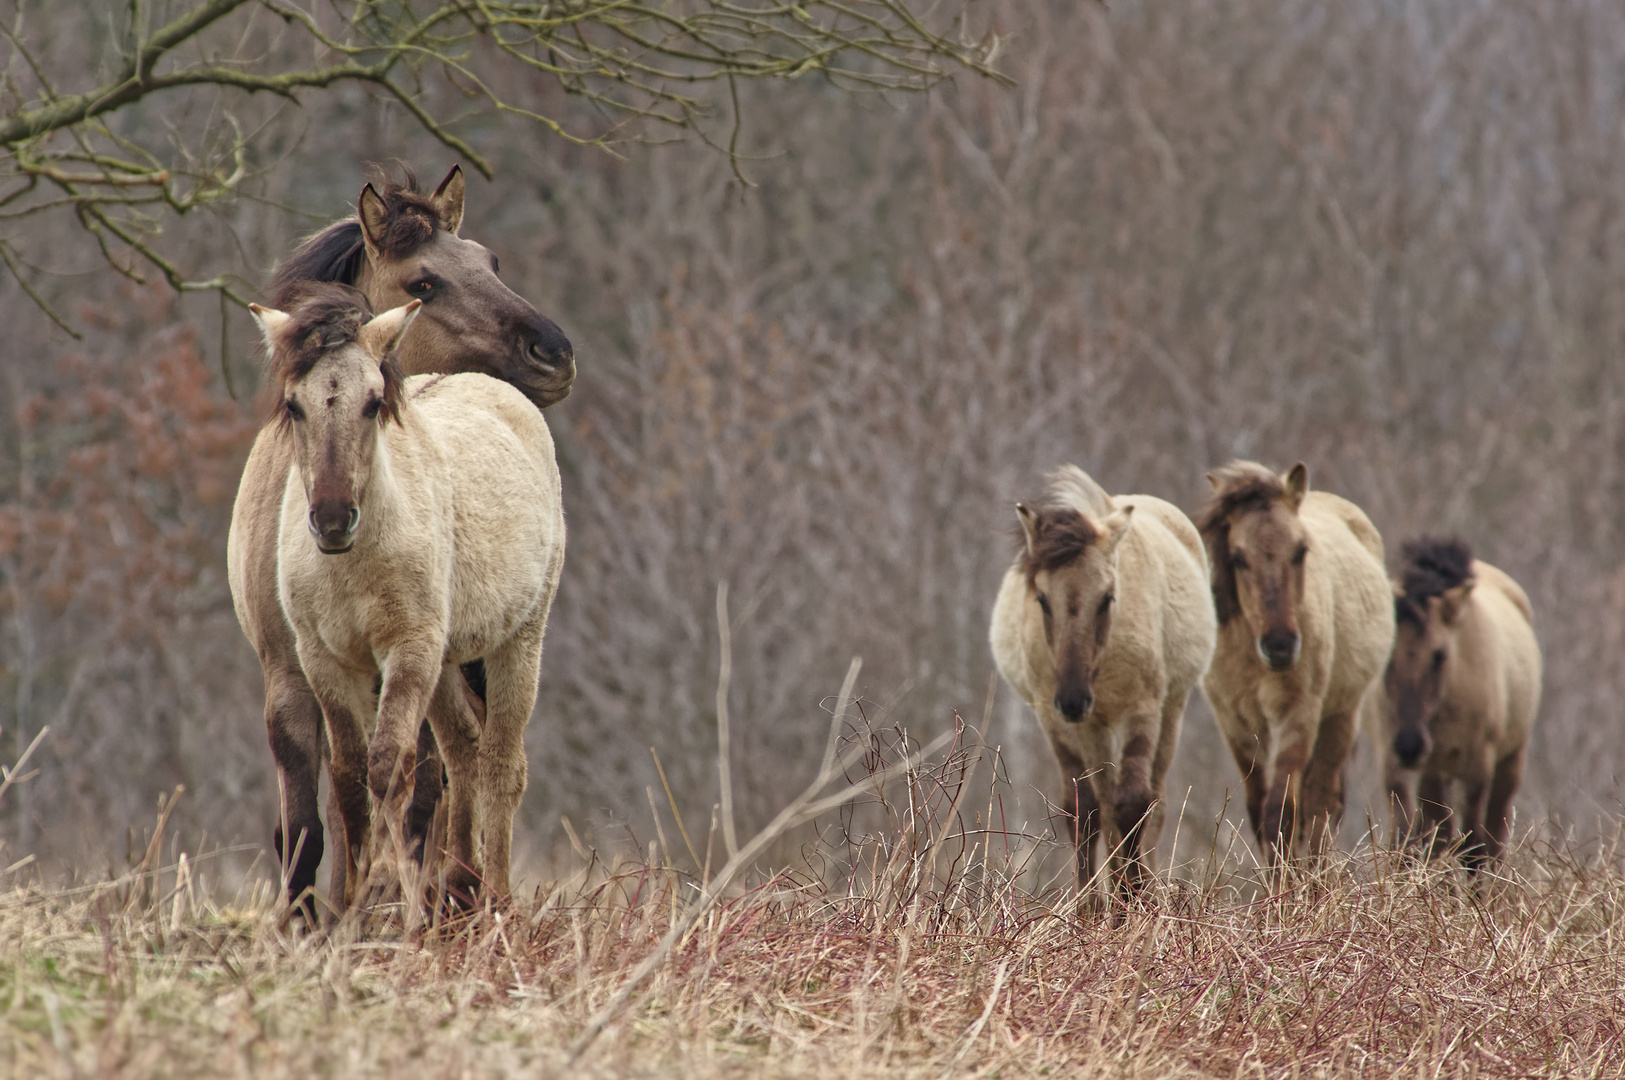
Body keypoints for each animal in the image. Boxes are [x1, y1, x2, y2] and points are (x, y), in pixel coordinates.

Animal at [229, 164, 572, 915]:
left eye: (490, 262)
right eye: (424, 282)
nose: (556, 353)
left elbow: (412, 791)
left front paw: (389, 898)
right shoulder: (288, 668)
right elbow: (309, 815)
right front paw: (311, 915)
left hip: (501, 644)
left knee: (486, 765)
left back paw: (470, 897)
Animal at [981, 467, 1215, 896]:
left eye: (1107, 597)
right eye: (1042, 599)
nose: (1073, 700)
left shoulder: (1142, 709)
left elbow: (1134, 804)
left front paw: (1134, 898)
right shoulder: (1056, 719)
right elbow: (1084, 810)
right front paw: (1090, 907)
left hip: (1168, 710)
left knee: (1152, 803)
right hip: (1094, 727)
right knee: (1102, 804)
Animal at [1196, 457, 1397, 864]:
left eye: (1301, 550)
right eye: (1238, 558)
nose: (1280, 646)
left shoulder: (1298, 714)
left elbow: (1281, 814)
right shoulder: (1237, 726)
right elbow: (1260, 813)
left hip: (1341, 715)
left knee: (1322, 804)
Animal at [1378, 535, 1540, 870]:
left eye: (1439, 655)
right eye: (1387, 651)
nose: (1409, 744)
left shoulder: (1478, 764)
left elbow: (1473, 847)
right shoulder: (1399, 761)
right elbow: (1418, 841)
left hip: (1509, 760)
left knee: (1494, 836)